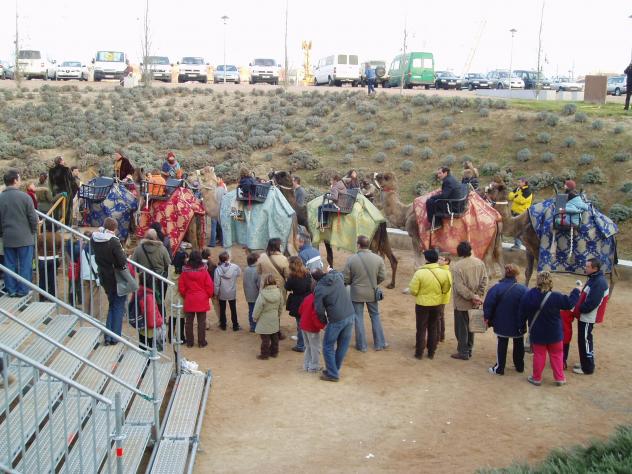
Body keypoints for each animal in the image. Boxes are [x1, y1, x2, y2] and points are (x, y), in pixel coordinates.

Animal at [270, 170, 398, 289]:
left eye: (281, 174)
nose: (271, 173)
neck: (305, 213)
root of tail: (380, 218)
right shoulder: (327, 237)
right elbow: (330, 257)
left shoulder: (314, 234)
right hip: (382, 236)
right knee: (392, 258)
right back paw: (391, 284)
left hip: (371, 238)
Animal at [371, 172, 503, 276]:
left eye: (383, 177)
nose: (374, 174)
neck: (406, 213)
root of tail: (496, 218)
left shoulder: (415, 235)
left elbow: (417, 264)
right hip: (495, 241)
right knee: (496, 263)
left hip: (483, 241)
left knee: (488, 268)